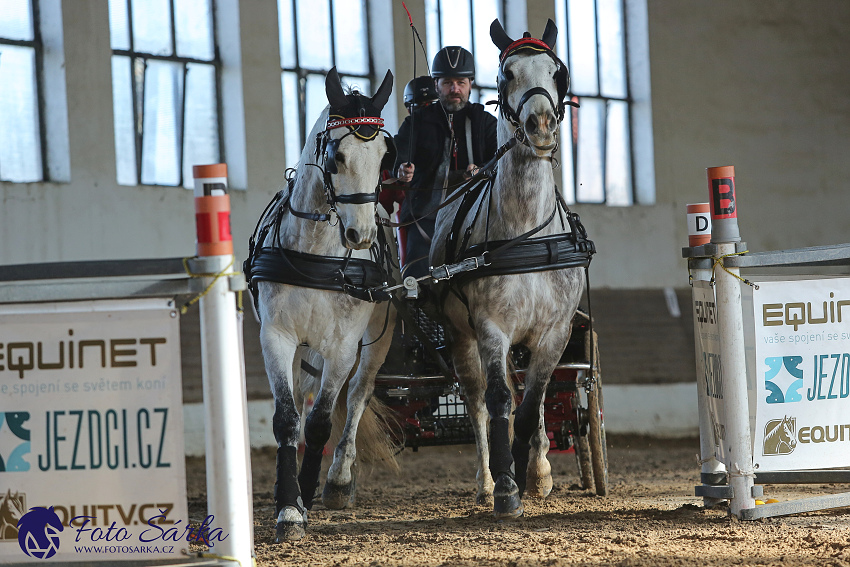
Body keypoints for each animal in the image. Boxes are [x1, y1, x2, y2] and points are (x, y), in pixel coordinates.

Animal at [247, 67, 400, 540]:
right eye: (336, 155)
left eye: (385, 156)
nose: (361, 236)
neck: (317, 251)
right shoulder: (276, 337)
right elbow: (287, 419)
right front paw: (288, 507)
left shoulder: (342, 347)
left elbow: (320, 422)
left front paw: (309, 492)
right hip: (301, 349)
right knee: (300, 397)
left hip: (374, 345)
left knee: (357, 396)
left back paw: (336, 480)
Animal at [430, 20, 584, 520]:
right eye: (506, 74)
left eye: (557, 72)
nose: (541, 125)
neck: (526, 235)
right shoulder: (491, 327)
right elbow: (499, 400)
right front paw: (504, 485)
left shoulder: (555, 331)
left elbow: (533, 403)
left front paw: (531, 472)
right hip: (461, 338)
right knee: (477, 401)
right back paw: (484, 481)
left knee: (533, 398)